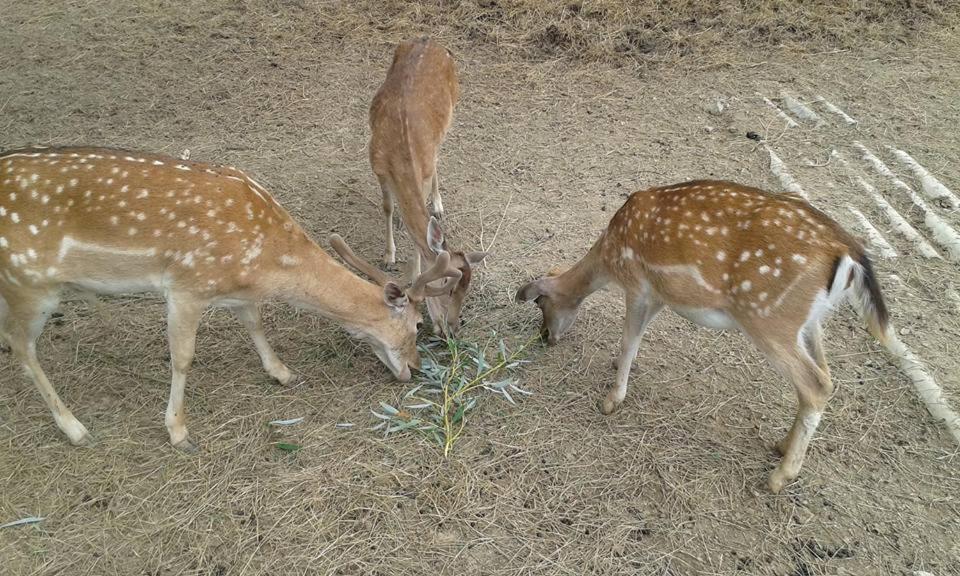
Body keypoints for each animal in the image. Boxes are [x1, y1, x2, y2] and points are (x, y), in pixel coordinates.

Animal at [0, 146, 462, 452]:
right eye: (417, 325)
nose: (416, 369)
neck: (267, 260)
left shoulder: (235, 290)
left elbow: (254, 321)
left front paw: (282, 372)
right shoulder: (187, 286)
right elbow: (183, 358)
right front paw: (178, 431)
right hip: (29, 282)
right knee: (21, 346)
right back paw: (74, 428)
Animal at [368, 37, 488, 338]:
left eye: (467, 289)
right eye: (447, 286)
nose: (452, 329)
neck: (398, 154)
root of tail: (429, 41)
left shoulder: (420, 173)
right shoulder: (377, 165)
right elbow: (387, 207)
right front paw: (388, 256)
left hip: (451, 115)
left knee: (437, 161)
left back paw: (438, 205)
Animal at [516, 180, 892, 490]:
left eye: (540, 303)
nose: (545, 336)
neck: (610, 257)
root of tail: (850, 254)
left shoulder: (638, 285)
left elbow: (629, 340)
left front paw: (610, 401)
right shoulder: (660, 295)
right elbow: (637, 339)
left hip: (769, 318)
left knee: (816, 385)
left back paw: (779, 477)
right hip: (810, 322)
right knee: (825, 376)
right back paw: (781, 445)